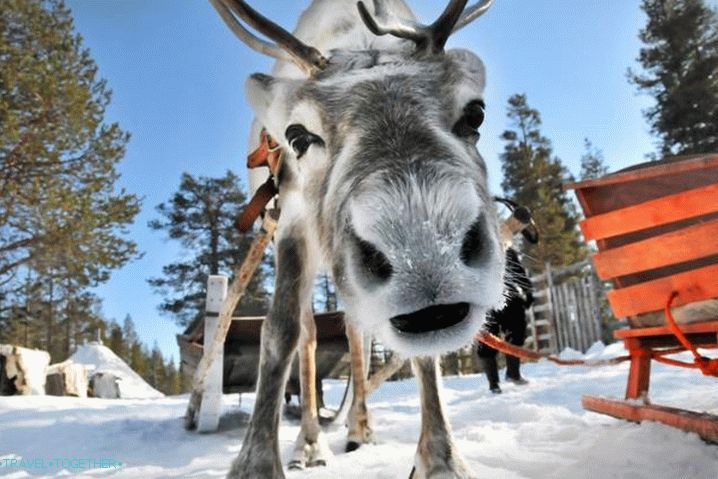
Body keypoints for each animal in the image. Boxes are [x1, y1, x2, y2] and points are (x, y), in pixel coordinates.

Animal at [208, 1, 504, 478]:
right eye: (298, 135)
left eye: (475, 113)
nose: (424, 257)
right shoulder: (291, 220)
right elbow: (281, 329)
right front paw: (257, 462)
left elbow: (421, 353)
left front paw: (442, 458)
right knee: (309, 334)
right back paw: (310, 442)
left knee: (354, 332)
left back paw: (358, 427)